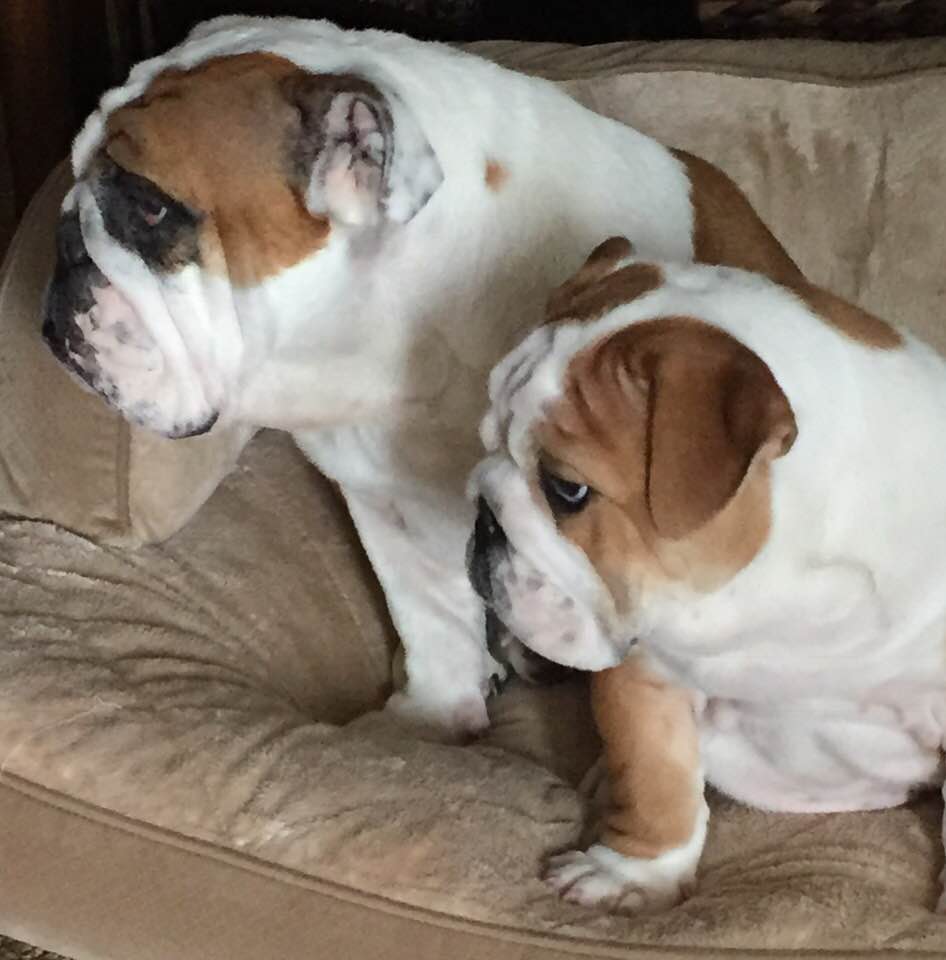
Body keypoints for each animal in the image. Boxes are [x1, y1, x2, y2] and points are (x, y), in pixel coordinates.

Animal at [468, 236, 946, 912]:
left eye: (568, 490)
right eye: (485, 440)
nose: (483, 517)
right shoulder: (644, 674)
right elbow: (655, 779)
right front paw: (632, 874)